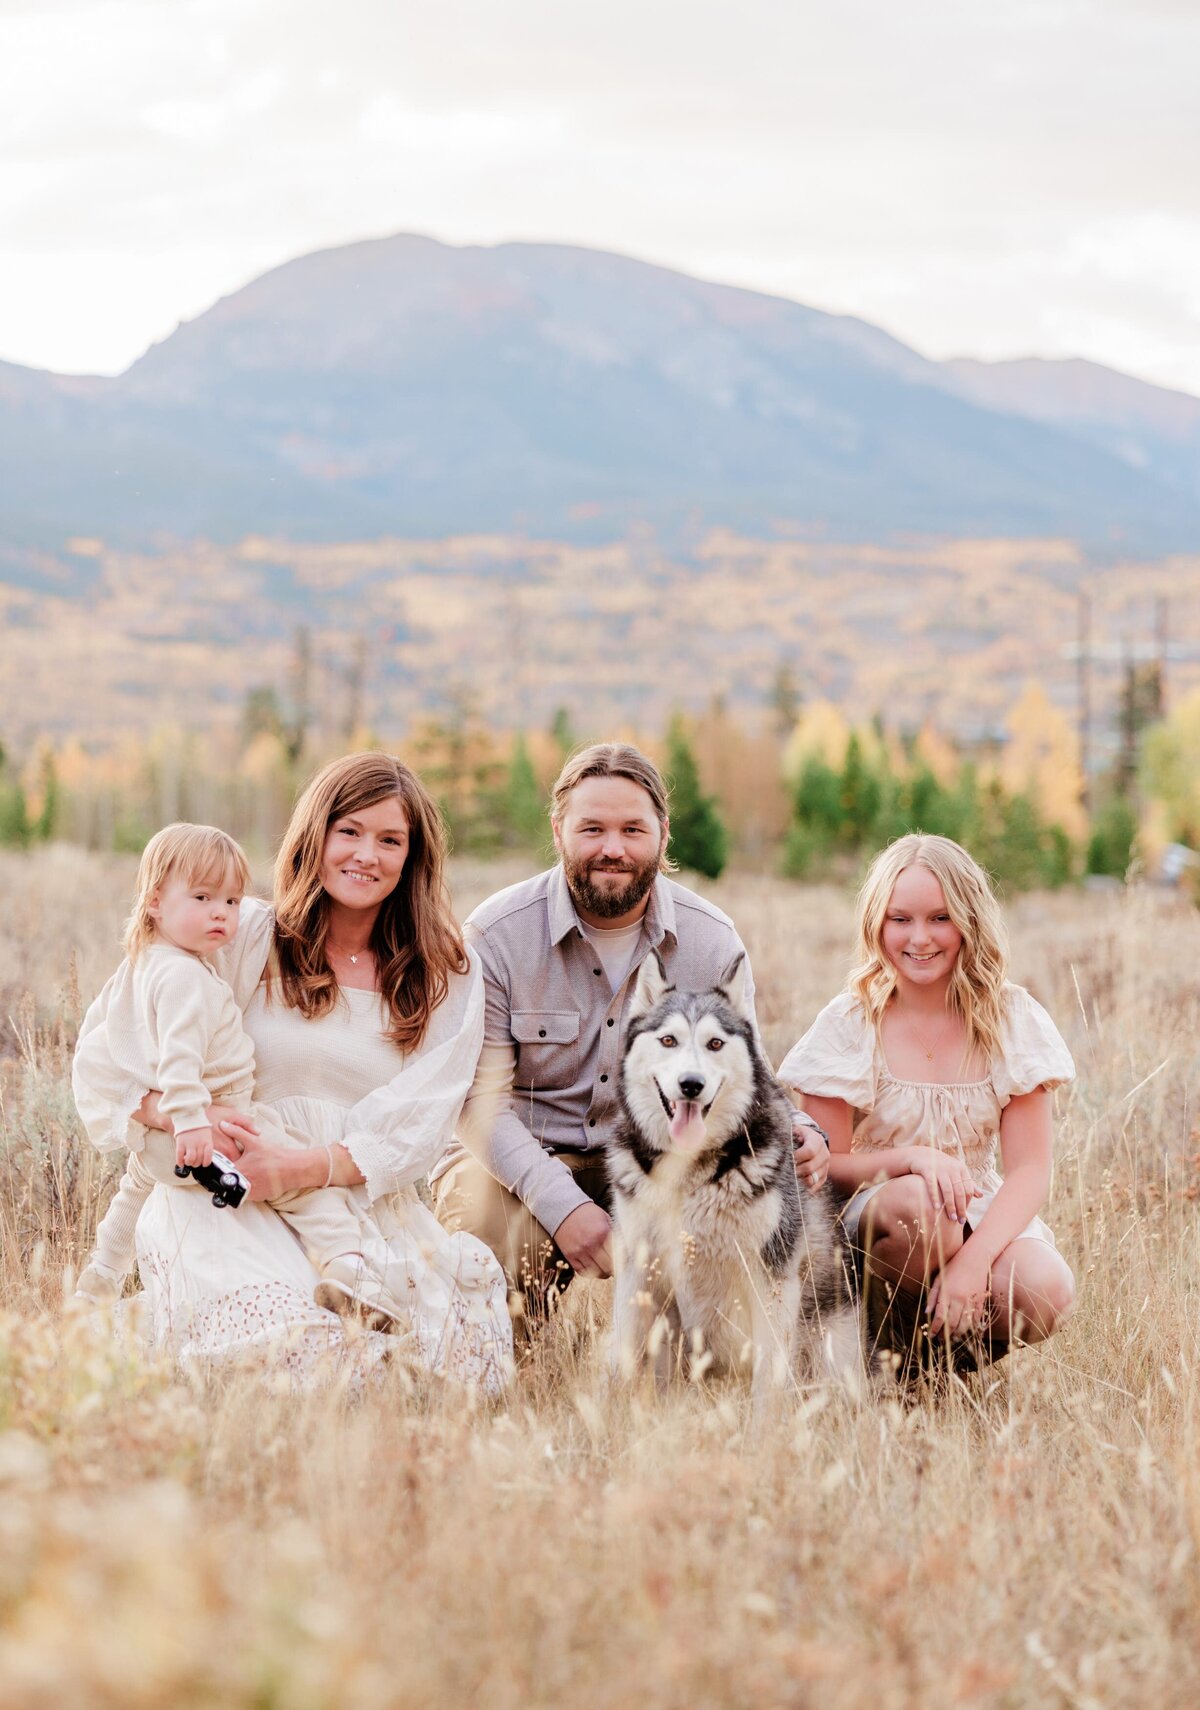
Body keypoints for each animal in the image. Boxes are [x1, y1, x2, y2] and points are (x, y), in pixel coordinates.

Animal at [615, 957, 861, 1395]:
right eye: (668, 1041)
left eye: (715, 1044)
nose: (691, 1084)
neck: (691, 1174)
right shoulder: (638, 1268)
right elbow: (628, 1356)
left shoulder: (771, 1277)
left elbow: (768, 1380)